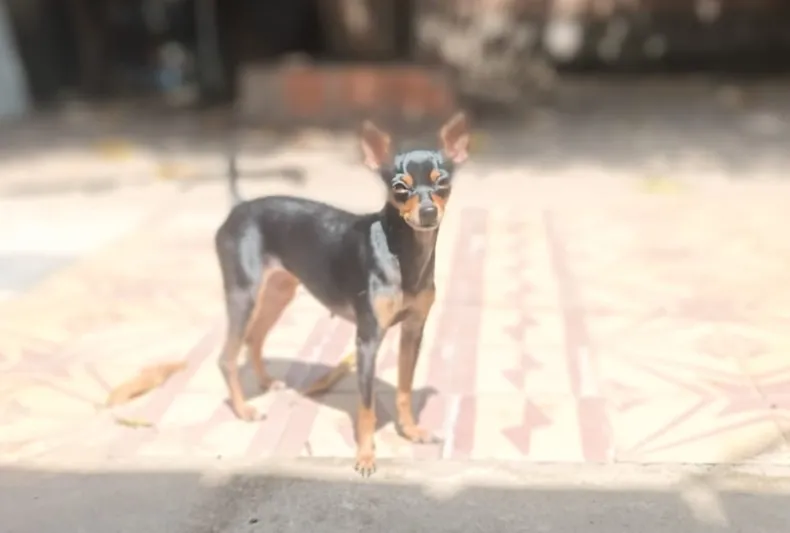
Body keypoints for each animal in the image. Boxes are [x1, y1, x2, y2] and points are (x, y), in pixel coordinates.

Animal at [214, 113, 470, 476]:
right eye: (399, 187)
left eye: (442, 183)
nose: (428, 212)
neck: (402, 253)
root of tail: (241, 206)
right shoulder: (367, 341)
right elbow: (366, 407)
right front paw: (365, 456)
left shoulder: (413, 331)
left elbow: (405, 389)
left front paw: (410, 430)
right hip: (244, 294)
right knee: (227, 357)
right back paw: (244, 409)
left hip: (278, 293)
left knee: (254, 339)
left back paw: (266, 383)